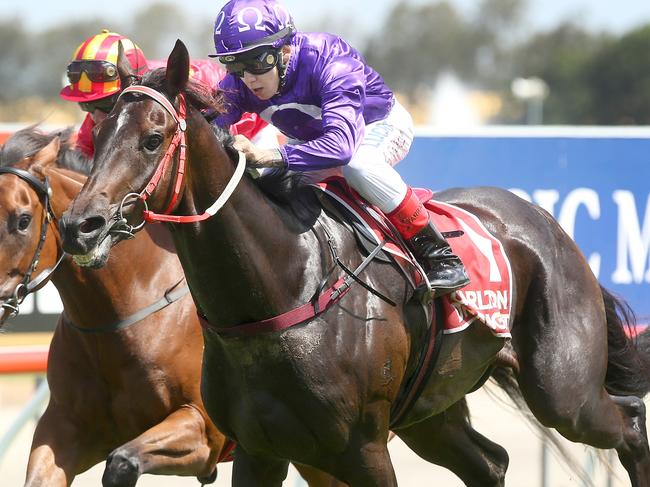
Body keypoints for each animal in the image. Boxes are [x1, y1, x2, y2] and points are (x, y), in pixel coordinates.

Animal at [58, 40, 648, 486]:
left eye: (153, 138)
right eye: (98, 134)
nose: (80, 225)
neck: (283, 291)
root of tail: (542, 219)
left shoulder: (363, 449)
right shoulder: (258, 450)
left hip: (563, 392)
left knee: (630, 422)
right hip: (431, 410)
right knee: (491, 463)